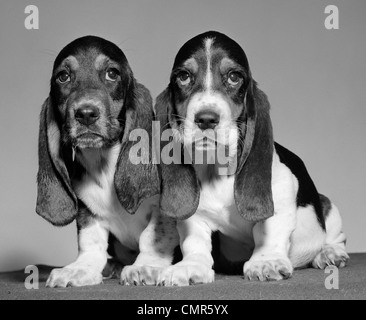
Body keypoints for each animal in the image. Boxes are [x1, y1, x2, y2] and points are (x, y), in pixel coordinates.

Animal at [35, 35, 177, 288]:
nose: (85, 113)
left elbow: (154, 236)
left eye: (112, 73)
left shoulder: (163, 209)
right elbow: (90, 242)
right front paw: (80, 269)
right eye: (63, 76)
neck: (104, 164)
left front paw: (146, 266)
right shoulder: (87, 213)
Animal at [132, 30, 348, 284]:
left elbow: (269, 230)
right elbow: (195, 242)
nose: (206, 119)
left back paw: (330, 253)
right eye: (183, 76)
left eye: (234, 77)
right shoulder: (195, 217)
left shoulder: (282, 190)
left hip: (328, 207)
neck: (216, 168)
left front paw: (265, 261)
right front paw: (191, 266)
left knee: (335, 236)